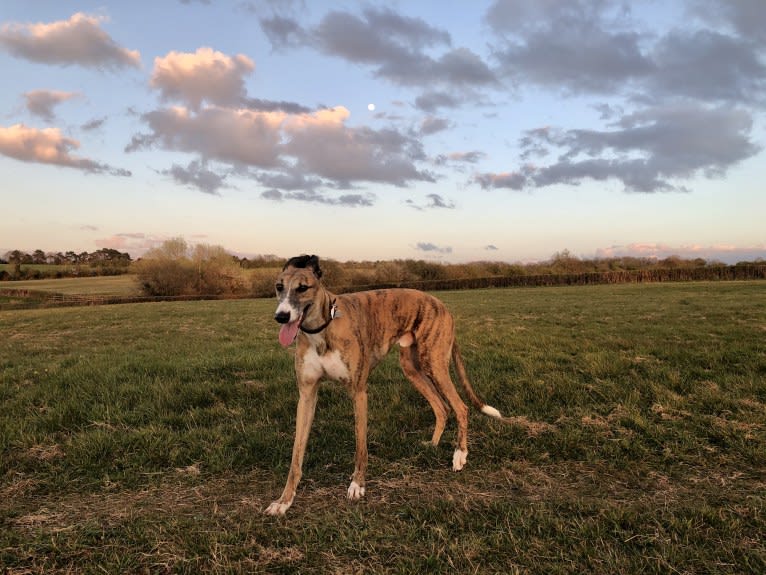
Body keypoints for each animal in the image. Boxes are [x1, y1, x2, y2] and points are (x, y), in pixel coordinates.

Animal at [264, 256, 504, 516]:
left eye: (303, 288)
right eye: (279, 287)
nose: (281, 316)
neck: (323, 329)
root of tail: (442, 305)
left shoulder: (359, 392)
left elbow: (360, 447)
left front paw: (357, 485)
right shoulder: (307, 396)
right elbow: (296, 455)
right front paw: (284, 500)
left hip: (434, 363)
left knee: (460, 407)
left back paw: (460, 455)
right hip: (412, 368)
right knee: (442, 408)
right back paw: (432, 444)